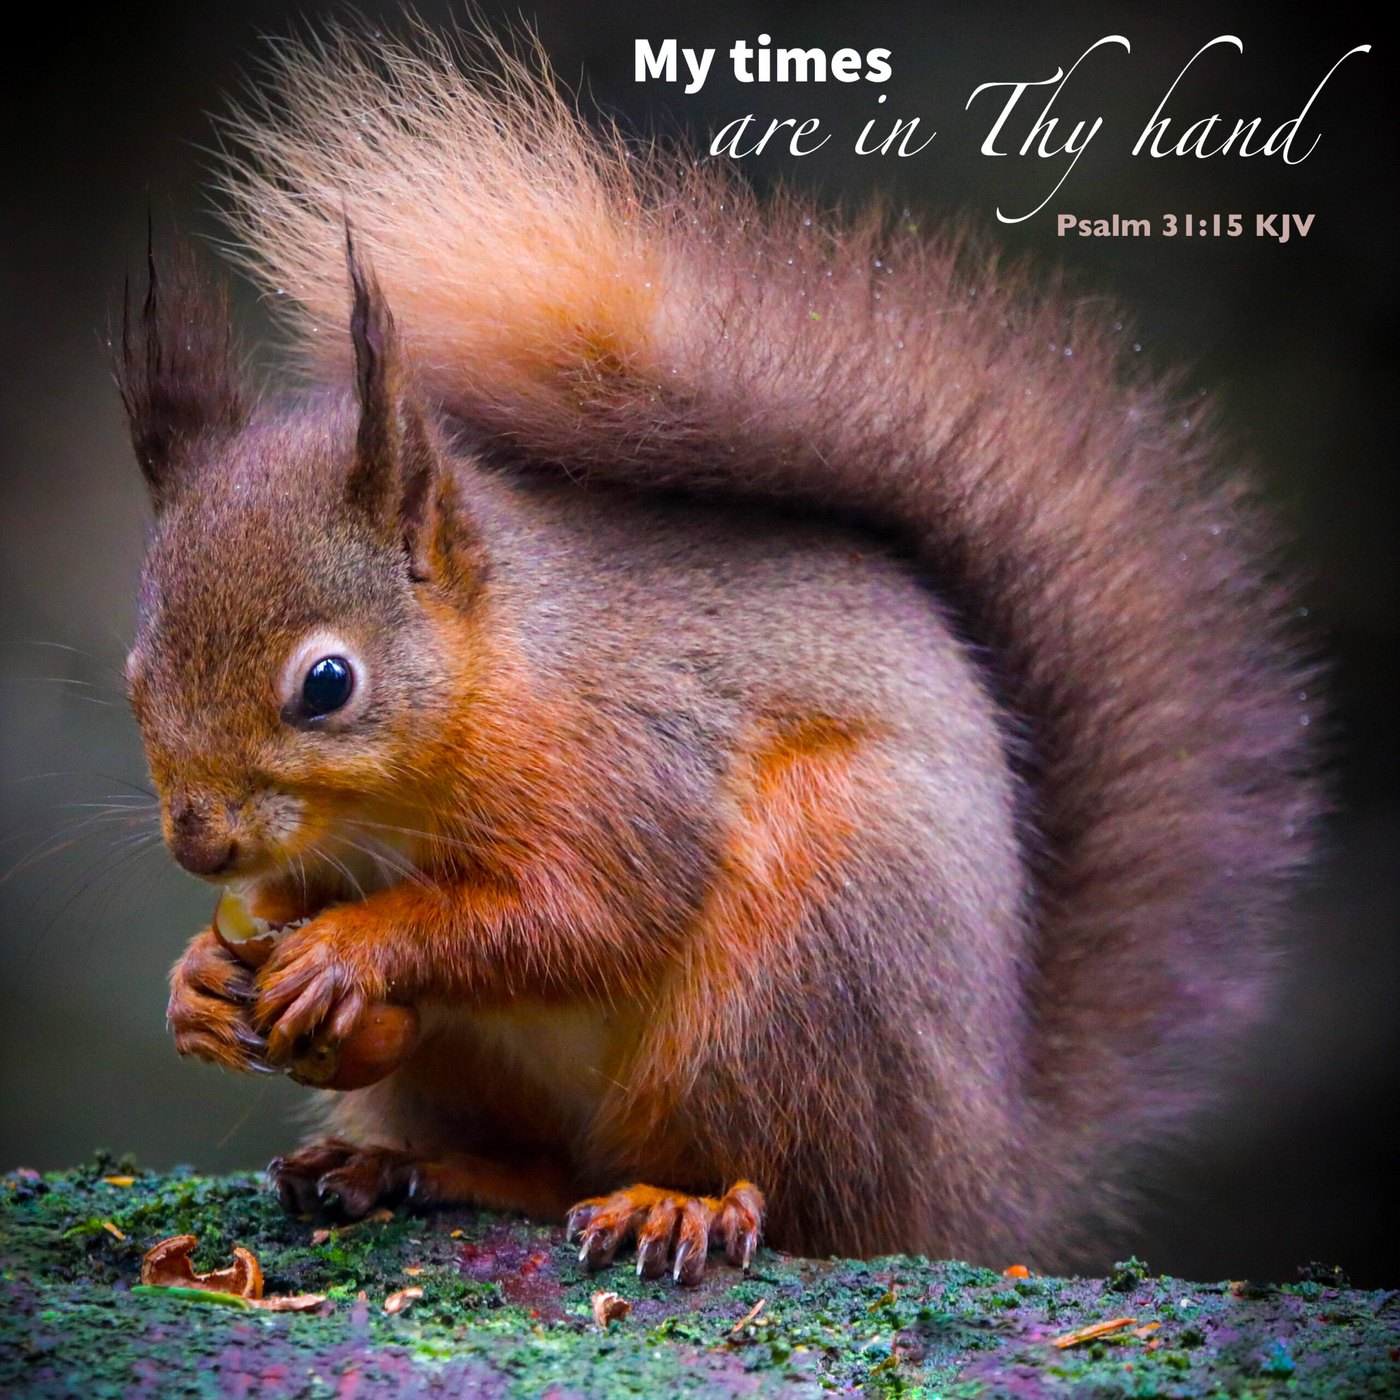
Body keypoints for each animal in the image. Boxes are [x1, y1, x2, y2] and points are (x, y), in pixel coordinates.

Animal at [114, 26, 1319, 1280]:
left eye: (328, 684)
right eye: (134, 675)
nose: (199, 844)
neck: (492, 681)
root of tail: (975, 1173)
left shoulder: (631, 758)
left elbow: (586, 911)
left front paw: (356, 945)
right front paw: (197, 983)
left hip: (801, 972)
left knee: (781, 1187)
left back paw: (679, 1205)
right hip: (493, 1070)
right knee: (539, 1170)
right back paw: (397, 1163)